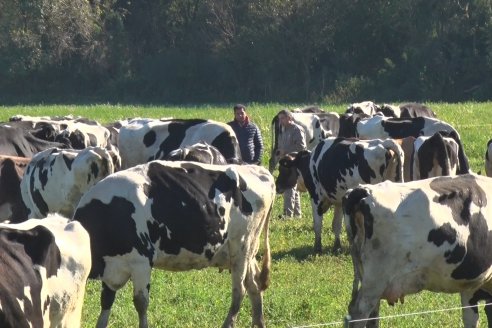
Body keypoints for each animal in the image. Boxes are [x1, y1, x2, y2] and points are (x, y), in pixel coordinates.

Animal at [71, 161, 274, 328]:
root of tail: (260, 171)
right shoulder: (112, 267)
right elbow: (106, 300)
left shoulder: (141, 262)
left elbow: (140, 302)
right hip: (247, 251)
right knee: (254, 284)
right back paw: (259, 323)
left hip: (241, 247)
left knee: (239, 291)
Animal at [272, 137, 404, 252]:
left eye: (282, 169)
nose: (277, 186)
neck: (309, 162)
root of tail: (383, 142)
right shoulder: (339, 202)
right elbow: (336, 225)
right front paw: (337, 247)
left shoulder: (316, 198)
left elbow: (317, 225)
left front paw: (317, 248)